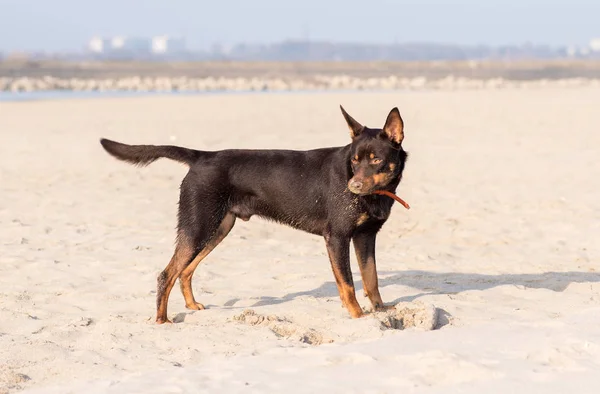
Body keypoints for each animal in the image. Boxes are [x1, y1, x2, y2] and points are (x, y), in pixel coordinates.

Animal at [101, 105, 408, 324]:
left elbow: (371, 278)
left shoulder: (366, 236)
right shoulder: (337, 237)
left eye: (376, 160)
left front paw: (381, 310)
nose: (353, 186)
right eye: (354, 161)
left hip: (218, 228)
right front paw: (358, 316)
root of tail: (201, 156)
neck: (376, 194)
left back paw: (190, 305)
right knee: (167, 273)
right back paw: (162, 320)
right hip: (200, 225)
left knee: (185, 270)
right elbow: (348, 284)